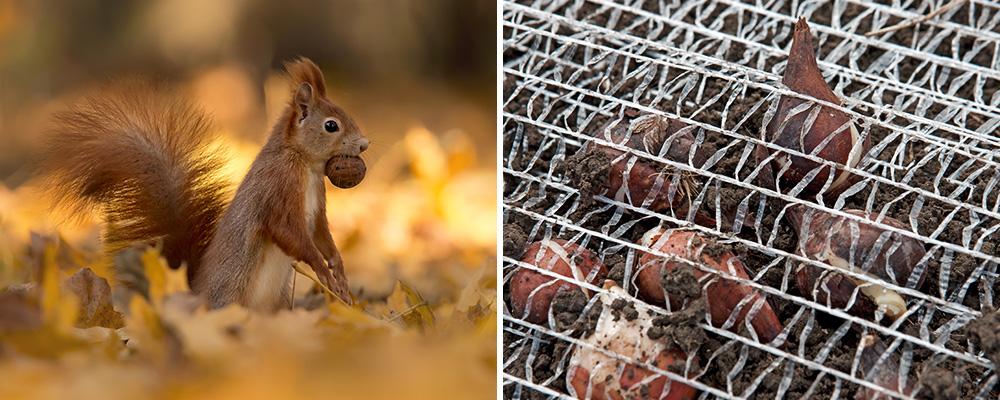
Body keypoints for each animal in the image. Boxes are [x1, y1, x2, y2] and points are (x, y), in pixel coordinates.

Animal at [40, 57, 369, 311]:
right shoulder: (278, 190)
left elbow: (321, 234)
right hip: (230, 295)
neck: (306, 167)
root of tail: (196, 295)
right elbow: (291, 234)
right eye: (331, 125)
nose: (364, 144)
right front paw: (322, 270)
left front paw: (338, 270)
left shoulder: (317, 207)